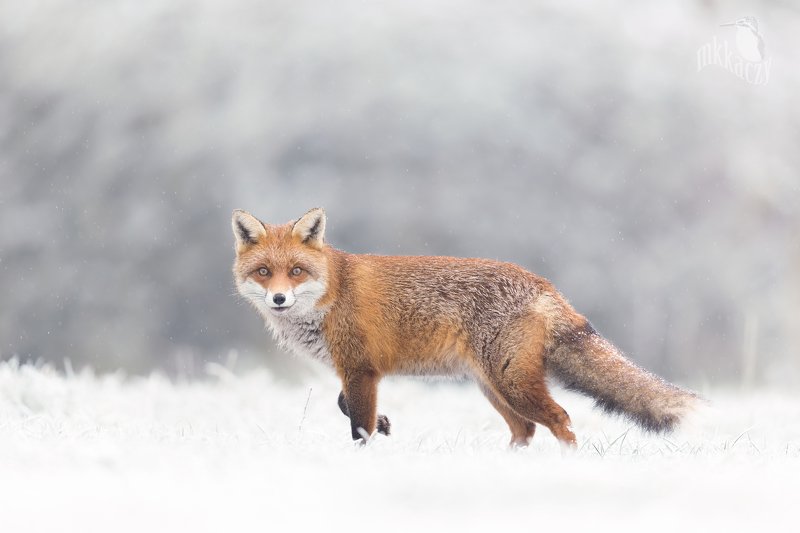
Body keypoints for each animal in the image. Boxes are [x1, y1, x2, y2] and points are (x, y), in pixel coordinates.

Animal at [232, 207, 699, 447]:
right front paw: (385, 423)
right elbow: (345, 405)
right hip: (492, 386)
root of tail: (543, 283)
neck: (331, 293)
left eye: (296, 271)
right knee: (525, 430)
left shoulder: (361, 369)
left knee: (559, 420)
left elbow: (358, 425)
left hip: (512, 384)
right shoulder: (356, 371)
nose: (279, 299)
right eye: (263, 272)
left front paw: (368, 452)